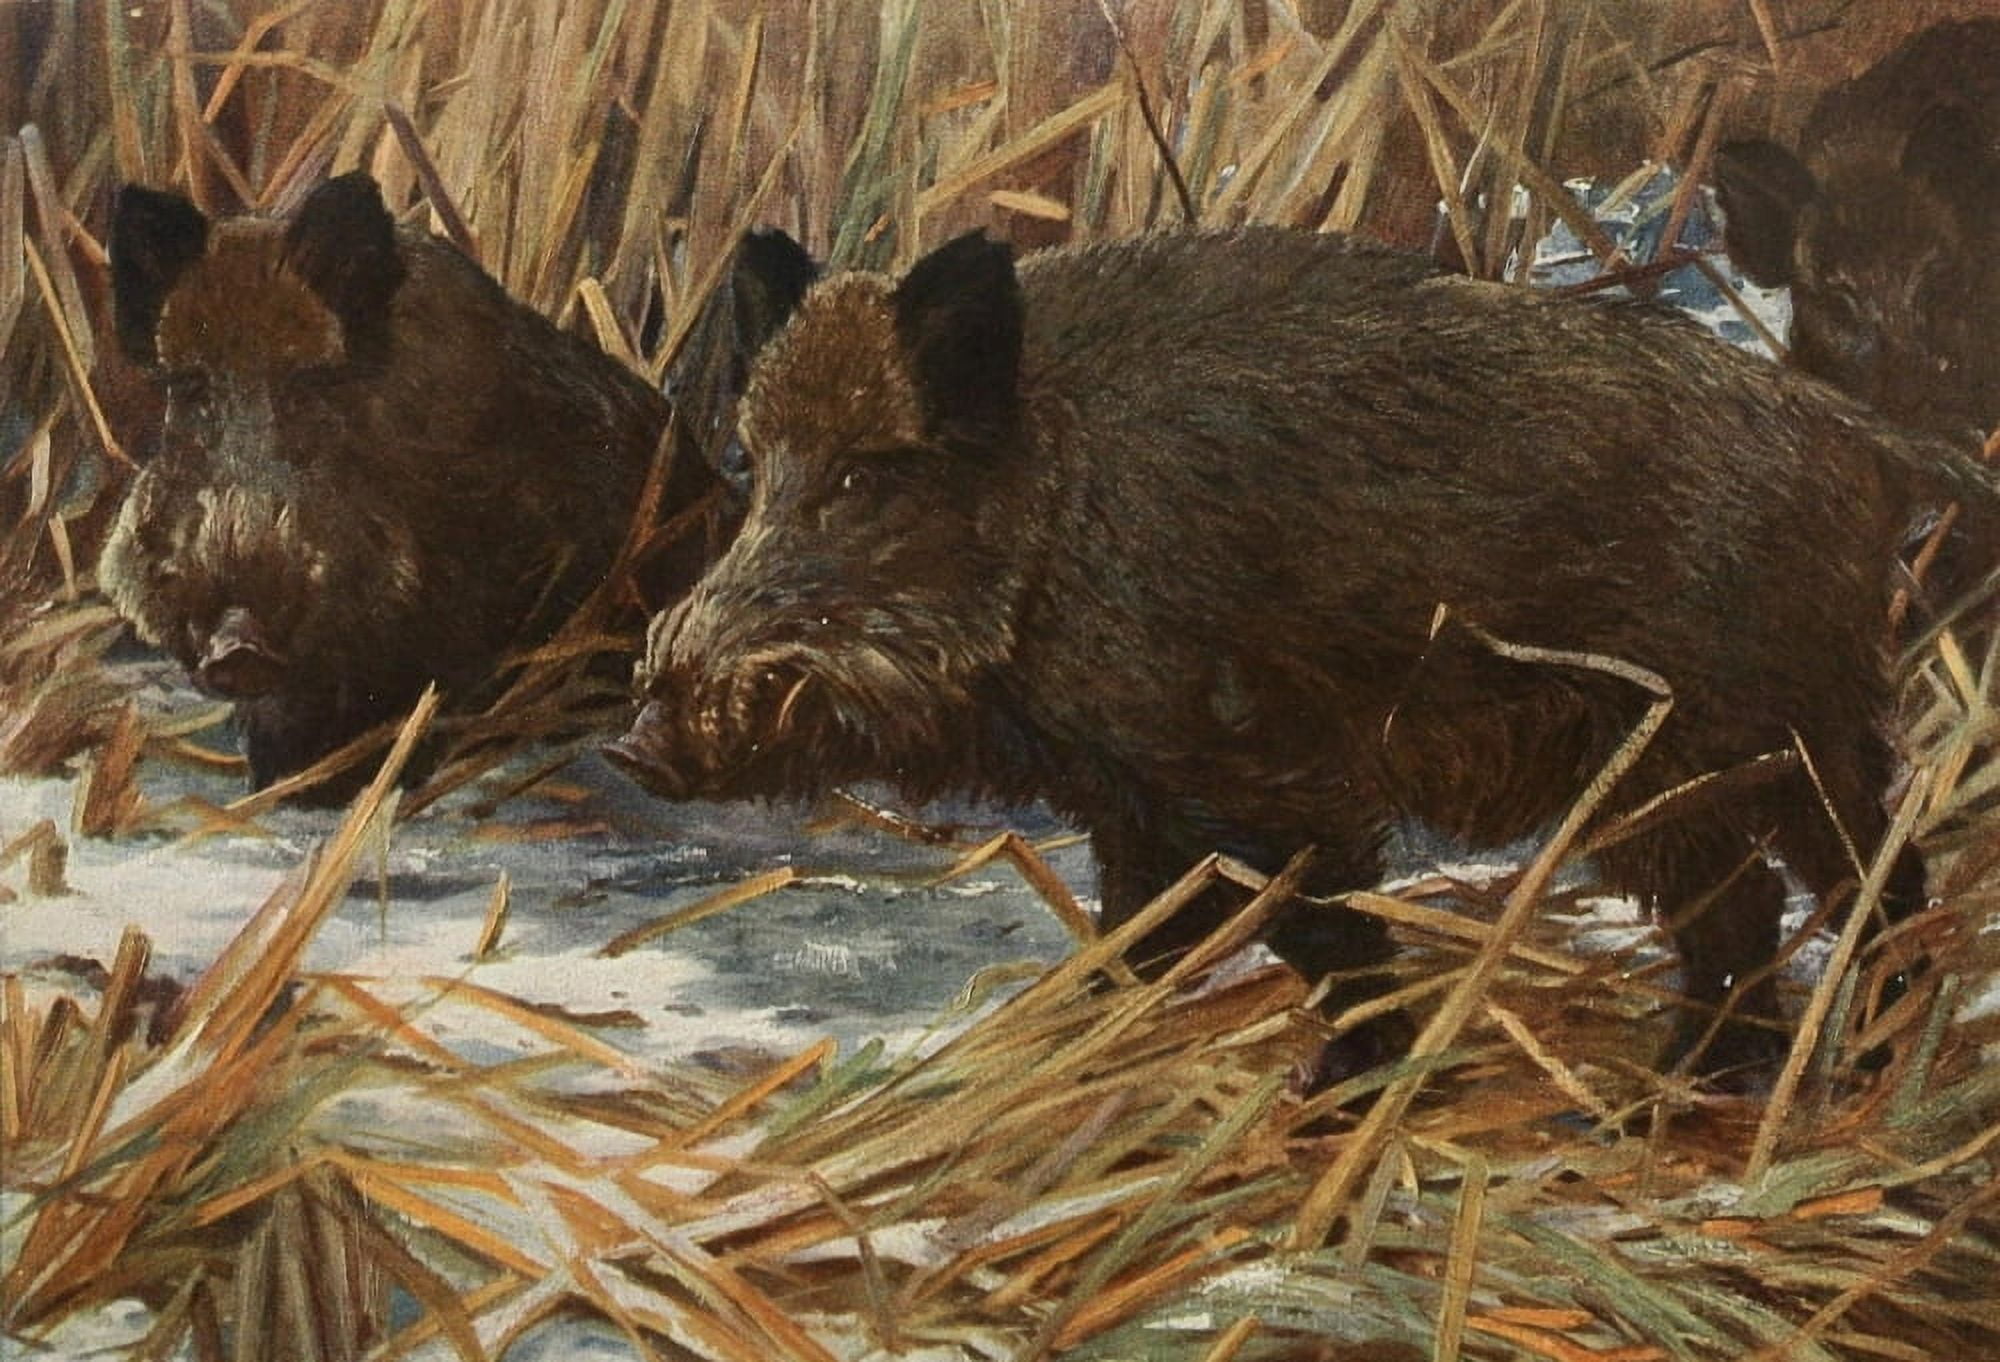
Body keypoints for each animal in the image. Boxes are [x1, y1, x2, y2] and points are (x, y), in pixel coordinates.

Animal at [609, 227, 1984, 1084]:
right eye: (751, 466)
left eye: (859, 481)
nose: (637, 744)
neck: (1060, 511)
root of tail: (1859, 441)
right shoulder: (1134, 795)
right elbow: (1138, 929)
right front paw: (1084, 1029)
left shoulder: (1260, 766)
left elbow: (1323, 927)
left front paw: (1343, 1083)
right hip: (1739, 749)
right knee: (1810, 890)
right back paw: (1767, 1068)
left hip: (1717, 733)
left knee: (1810, 890)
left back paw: (1762, 1071)